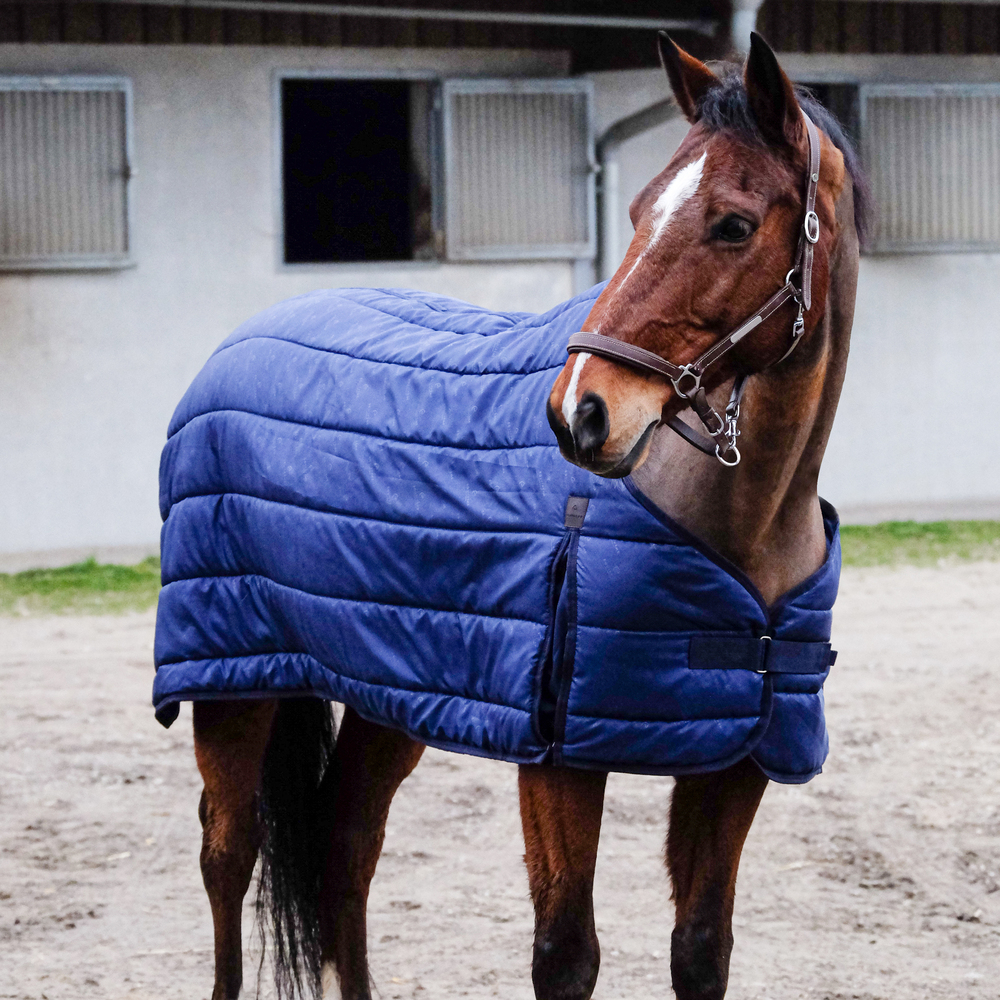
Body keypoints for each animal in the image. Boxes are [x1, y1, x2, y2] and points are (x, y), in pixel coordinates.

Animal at [167, 32, 867, 1000]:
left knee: (346, 846)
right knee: (229, 853)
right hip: (234, 681)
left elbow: (701, 949)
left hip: (393, 689)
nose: (582, 412)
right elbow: (565, 953)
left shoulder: (736, 758)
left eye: (732, 223)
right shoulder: (560, 755)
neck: (740, 525)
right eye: (640, 209)